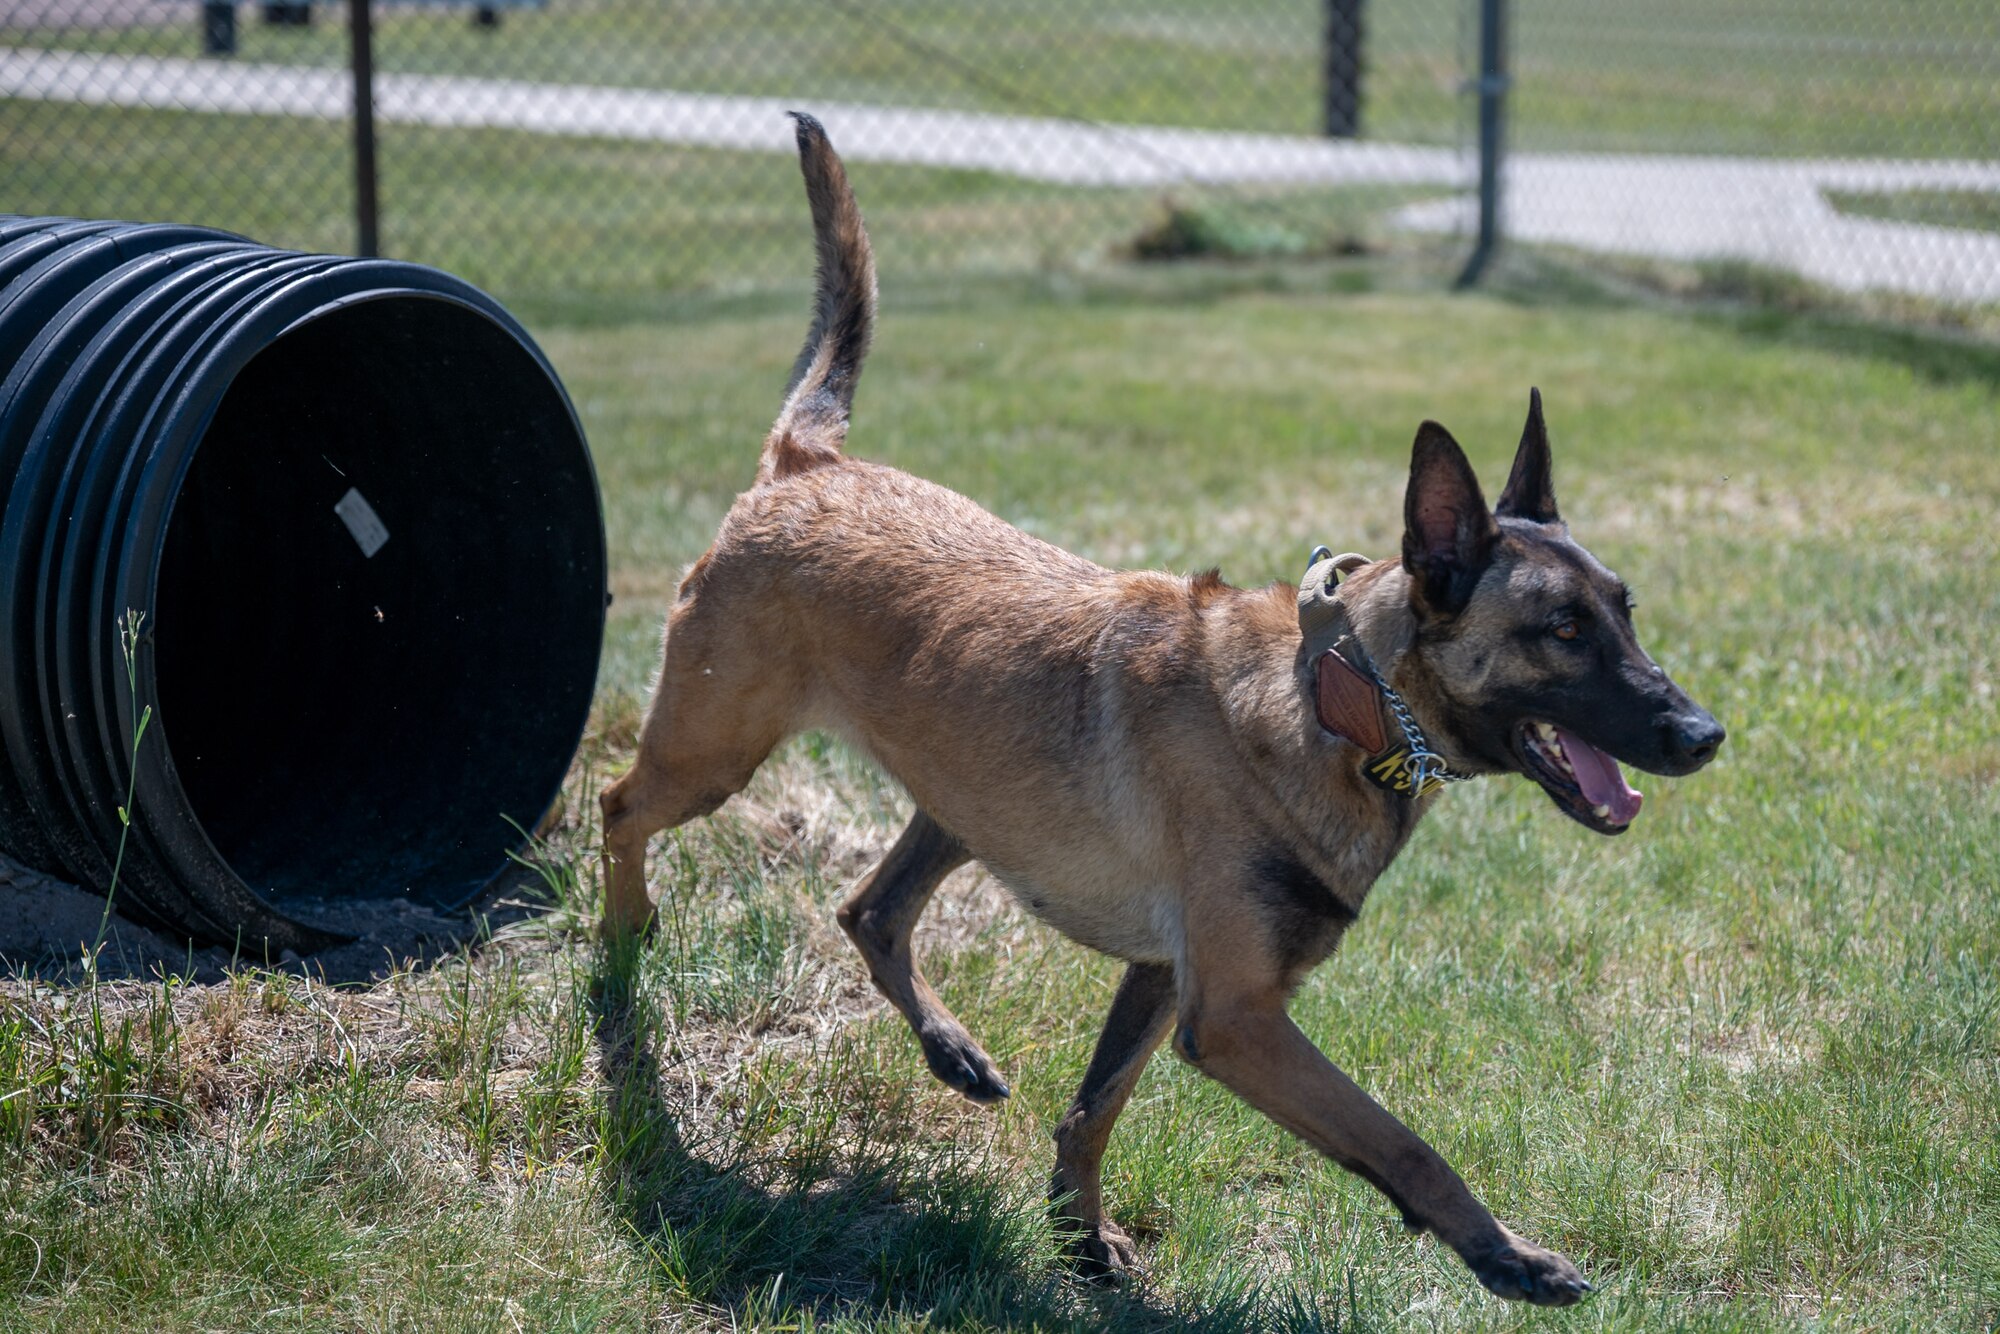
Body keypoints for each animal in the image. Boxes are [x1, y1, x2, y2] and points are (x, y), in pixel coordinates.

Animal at [600, 115, 1728, 1304]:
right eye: (1560, 630)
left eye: (1624, 612)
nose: (1704, 734)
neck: (1341, 700)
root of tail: (805, 465)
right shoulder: (1236, 1017)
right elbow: (1401, 1139)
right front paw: (1503, 1252)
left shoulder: (1159, 976)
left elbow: (1090, 1113)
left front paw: (1080, 1241)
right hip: (713, 754)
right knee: (620, 806)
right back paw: (624, 943)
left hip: (960, 800)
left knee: (870, 911)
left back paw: (950, 1048)